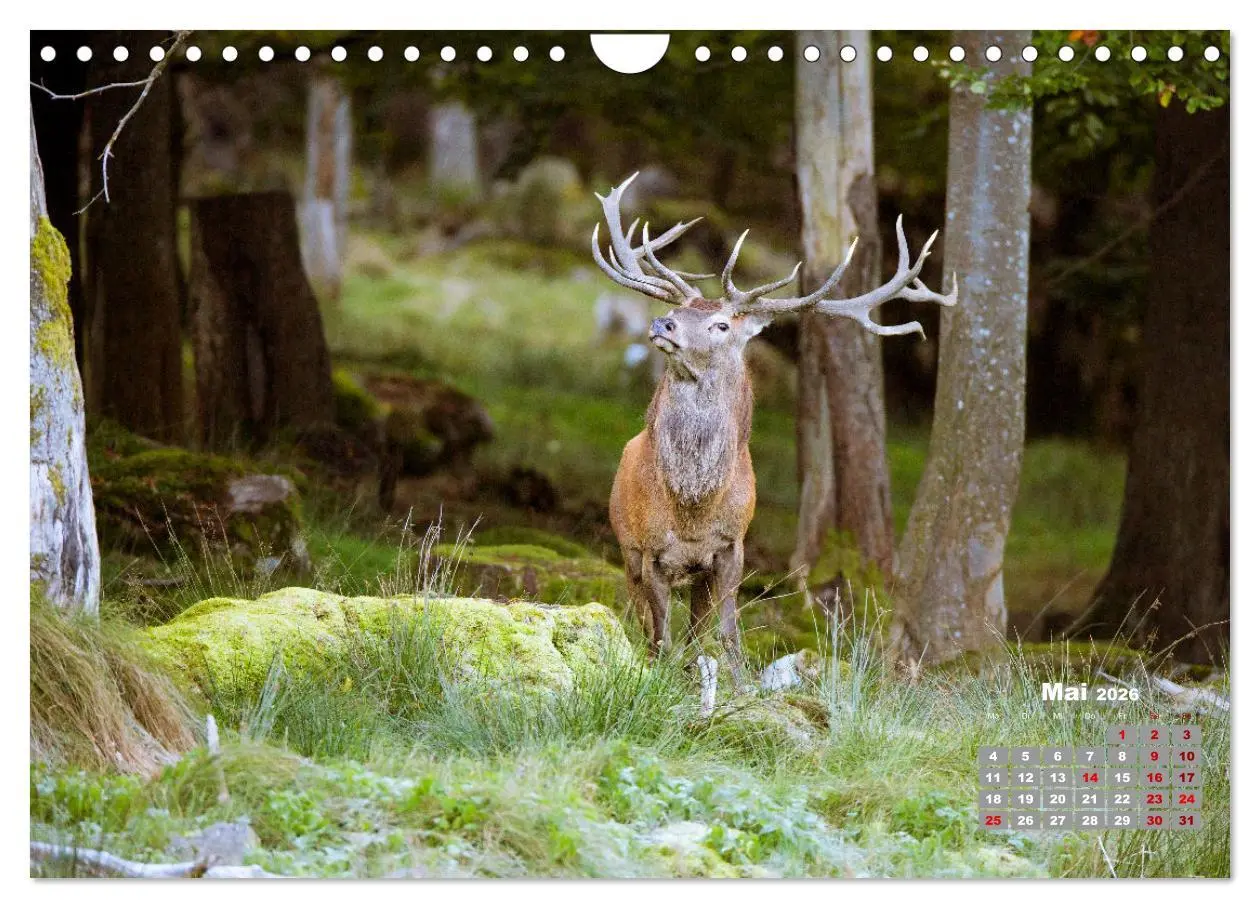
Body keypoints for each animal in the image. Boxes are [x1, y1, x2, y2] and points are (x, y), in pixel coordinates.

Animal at [593, 173, 958, 684]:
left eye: (721, 324)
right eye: (681, 311)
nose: (662, 323)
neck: (692, 505)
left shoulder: (731, 548)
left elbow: (727, 633)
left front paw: (738, 681)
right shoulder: (649, 550)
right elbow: (660, 633)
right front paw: (661, 676)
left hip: (695, 573)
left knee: (696, 626)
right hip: (625, 547)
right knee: (647, 620)